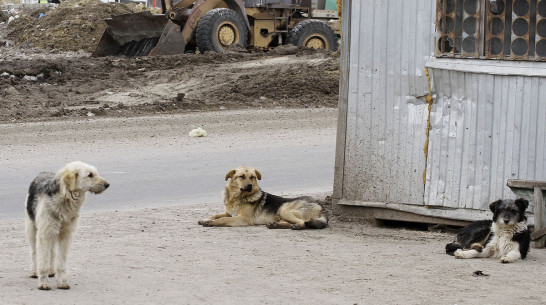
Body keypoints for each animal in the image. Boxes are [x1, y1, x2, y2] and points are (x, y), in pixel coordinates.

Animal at [25, 160, 109, 288]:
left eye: (95, 173)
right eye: (89, 175)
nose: (107, 184)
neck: (66, 198)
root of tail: (43, 173)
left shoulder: (66, 235)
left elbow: (61, 262)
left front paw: (62, 281)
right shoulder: (45, 234)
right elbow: (43, 260)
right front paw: (43, 282)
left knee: (52, 252)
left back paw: (51, 271)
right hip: (33, 230)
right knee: (34, 253)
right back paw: (34, 271)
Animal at [197, 166, 328, 228]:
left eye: (252, 177)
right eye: (242, 176)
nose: (249, 186)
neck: (238, 197)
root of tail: (320, 207)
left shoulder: (243, 219)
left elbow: (223, 219)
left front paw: (211, 223)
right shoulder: (229, 213)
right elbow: (216, 215)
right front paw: (206, 219)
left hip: (285, 209)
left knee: (304, 222)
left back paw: (295, 227)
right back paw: (275, 225)